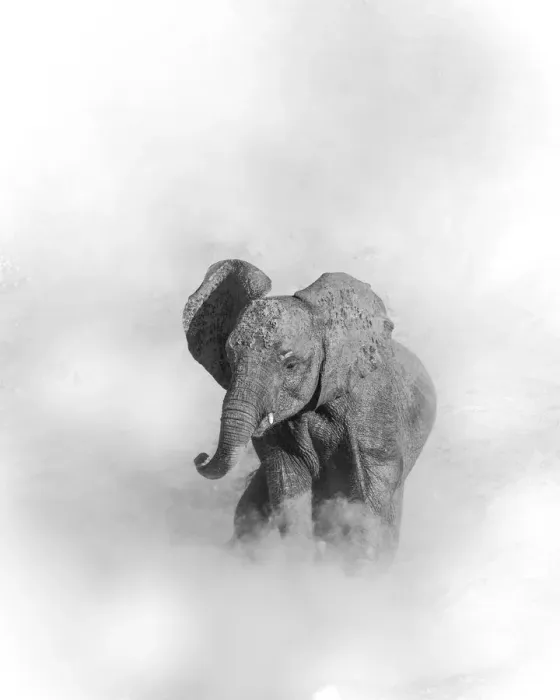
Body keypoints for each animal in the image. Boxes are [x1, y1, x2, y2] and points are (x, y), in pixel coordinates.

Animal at [182, 259, 437, 566]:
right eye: (229, 360)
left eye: (290, 365)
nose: (200, 457)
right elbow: (288, 481)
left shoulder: (373, 408)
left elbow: (370, 492)